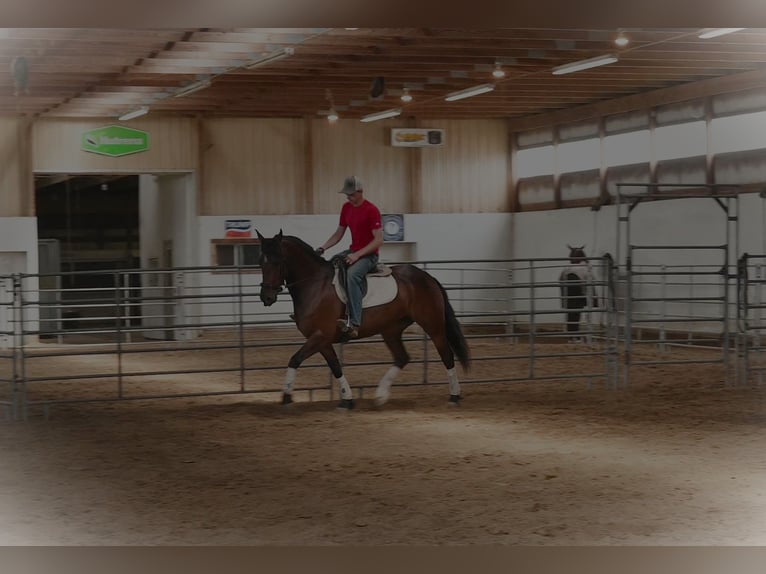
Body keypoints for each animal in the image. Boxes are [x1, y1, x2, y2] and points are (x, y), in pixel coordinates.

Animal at [258, 230, 472, 410]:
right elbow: (335, 367)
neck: (315, 285)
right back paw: (381, 396)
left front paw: (286, 396)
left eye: (277, 261)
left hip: (433, 326)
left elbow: (295, 359)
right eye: (261, 262)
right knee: (402, 357)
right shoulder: (322, 340)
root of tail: (428, 278)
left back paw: (454, 396)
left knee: (447, 356)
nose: (266, 297)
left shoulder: (320, 335)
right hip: (391, 330)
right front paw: (347, 399)